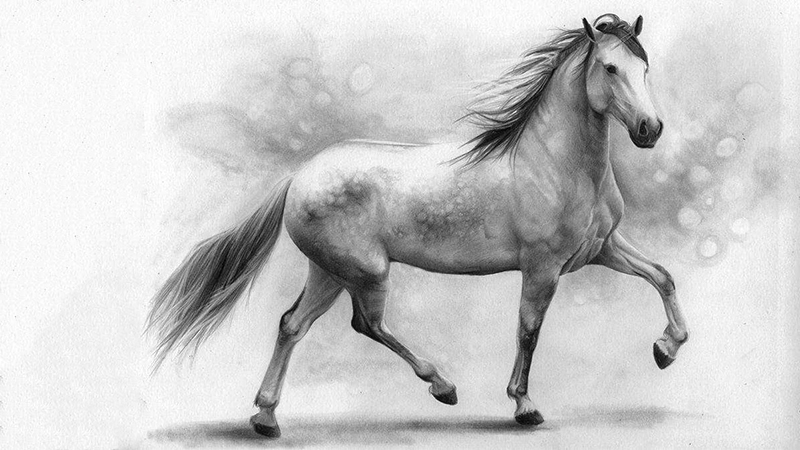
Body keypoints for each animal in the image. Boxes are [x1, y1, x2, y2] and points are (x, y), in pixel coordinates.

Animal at [148, 14, 689, 438]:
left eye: (645, 67)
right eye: (610, 68)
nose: (650, 130)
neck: (555, 163)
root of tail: (299, 176)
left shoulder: (602, 248)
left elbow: (663, 275)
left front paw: (665, 349)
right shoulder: (543, 267)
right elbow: (529, 332)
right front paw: (524, 407)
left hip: (330, 271)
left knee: (292, 324)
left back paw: (266, 418)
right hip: (365, 271)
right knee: (365, 323)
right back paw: (443, 386)